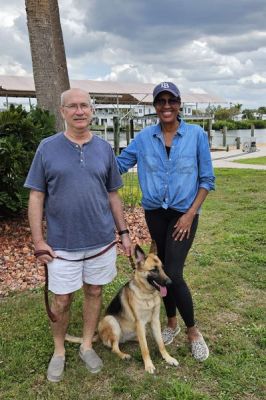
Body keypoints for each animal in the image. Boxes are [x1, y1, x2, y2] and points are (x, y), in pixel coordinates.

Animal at [66, 242, 179, 374]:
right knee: (115, 348)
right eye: (154, 270)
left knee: (139, 339)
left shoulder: (155, 321)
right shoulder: (140, 323)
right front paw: (148, 365)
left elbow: (160, 343)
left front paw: (168, 358)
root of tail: (99, 335)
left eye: (162, 268)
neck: (147, 294)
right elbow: (144, 349)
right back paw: (124, 355)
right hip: (111, 321)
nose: (170, 283)